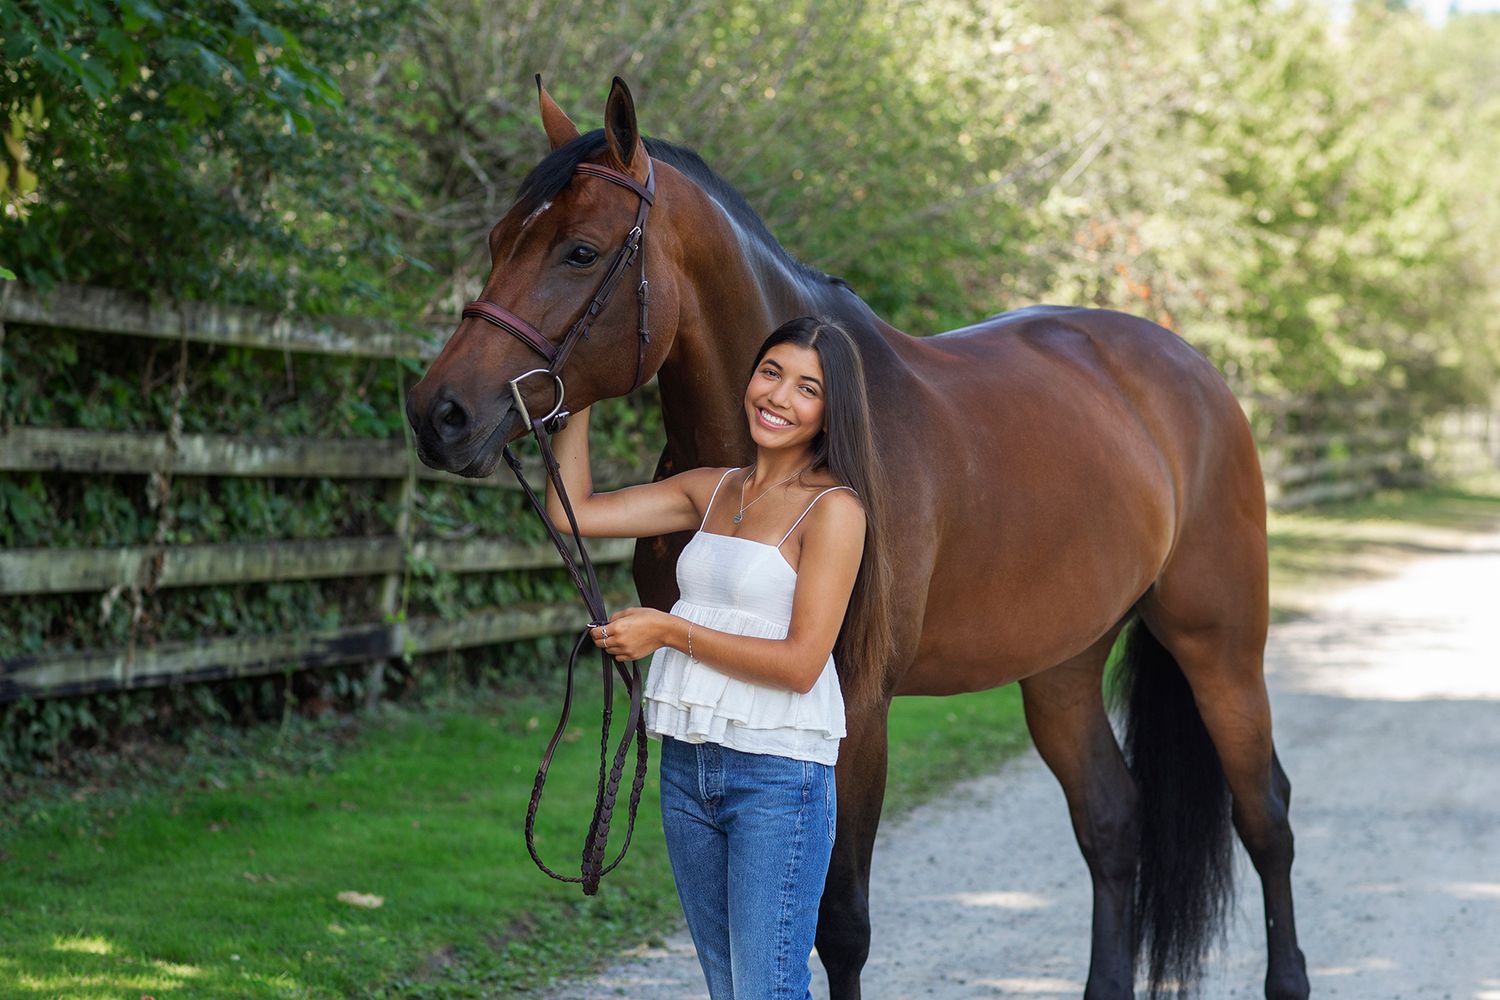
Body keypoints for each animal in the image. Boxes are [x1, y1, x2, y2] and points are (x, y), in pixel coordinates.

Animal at [405, 77, 1309, 1000]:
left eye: (581, 252)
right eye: (498, 241)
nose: (440, 414)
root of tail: (1192, 371)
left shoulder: (857, 710)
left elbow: (839, 924)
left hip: (1219, 648)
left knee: (1265, 816)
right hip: (1062, 663)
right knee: (1113, 822)